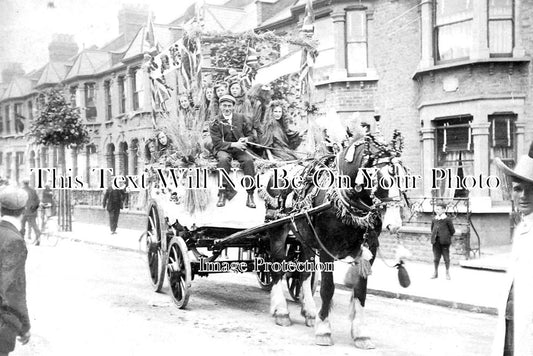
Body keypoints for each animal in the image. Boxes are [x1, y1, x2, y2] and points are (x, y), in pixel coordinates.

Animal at [262, 131, 408, 348]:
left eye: (405, 177)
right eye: (381, 178)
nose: (395, 223)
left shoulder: (369, 250)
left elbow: (360, 291)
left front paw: (360, 334)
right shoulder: (326, 249)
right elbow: (327, 288)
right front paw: (324, 330)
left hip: (305, 238)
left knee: (304, 272)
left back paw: (310, 311)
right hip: (277, 229)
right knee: (277, 268)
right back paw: (281, 311)